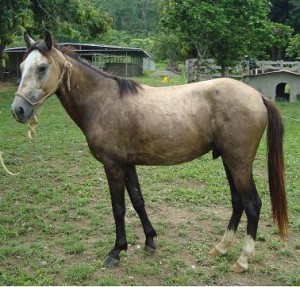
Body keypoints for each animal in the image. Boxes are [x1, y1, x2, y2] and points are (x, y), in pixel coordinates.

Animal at [10, 32, 288, 274]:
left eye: (42, 68)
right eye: (22, 67)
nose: (18, 110)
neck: (102, 101)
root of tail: (258, 96)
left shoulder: (113, 166)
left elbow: (119, 208)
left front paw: (116, 251)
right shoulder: (128, 165)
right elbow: (138, 201)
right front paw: (150, 240)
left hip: (239, 163)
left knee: (252, 204)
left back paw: (242, 260)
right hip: (230, 162)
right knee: (238, 202)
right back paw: (221, 248)